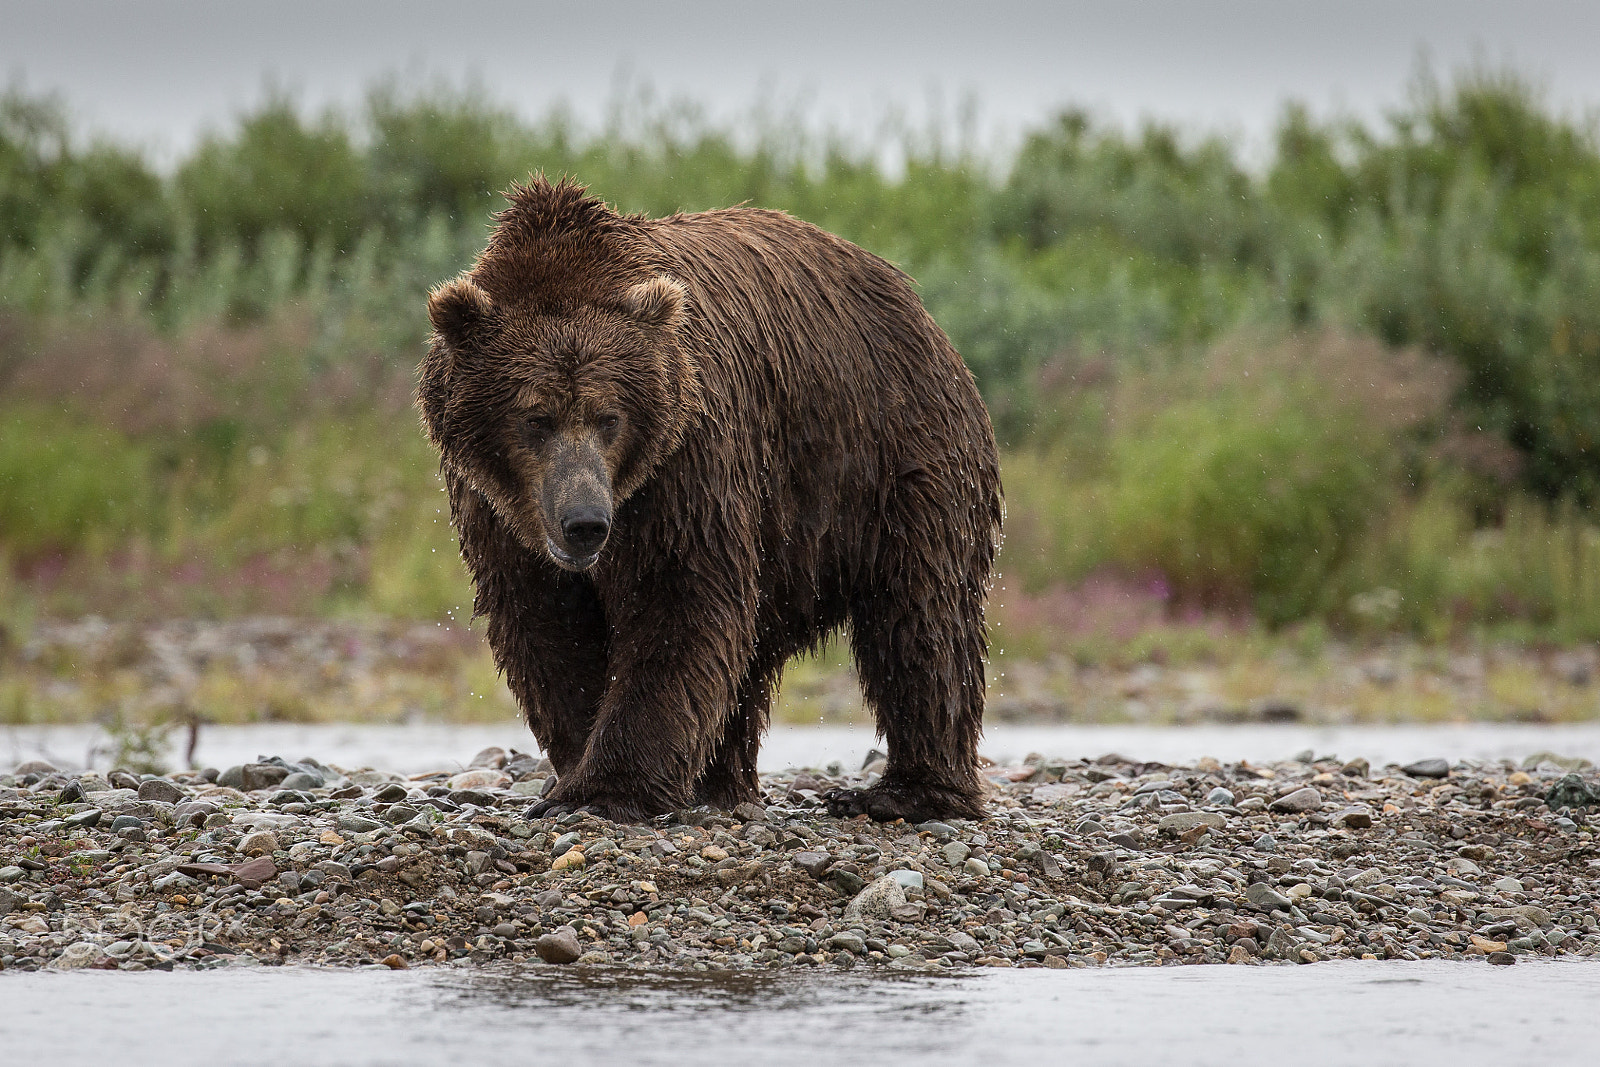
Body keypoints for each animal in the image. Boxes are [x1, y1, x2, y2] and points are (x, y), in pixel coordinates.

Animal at [422, 177, 998, 825]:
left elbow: (680, 600)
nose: (585, 523)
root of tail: (916, 306)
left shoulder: (686, 468)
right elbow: (546, 624)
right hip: (790, 528)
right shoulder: (499, 512)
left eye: (609, 418)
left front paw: (609, 787)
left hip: (891, 459)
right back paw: (721, 782)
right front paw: (578, 765)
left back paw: (904, 790)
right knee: (754, 646)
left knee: (918, 615)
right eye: (535, 418)